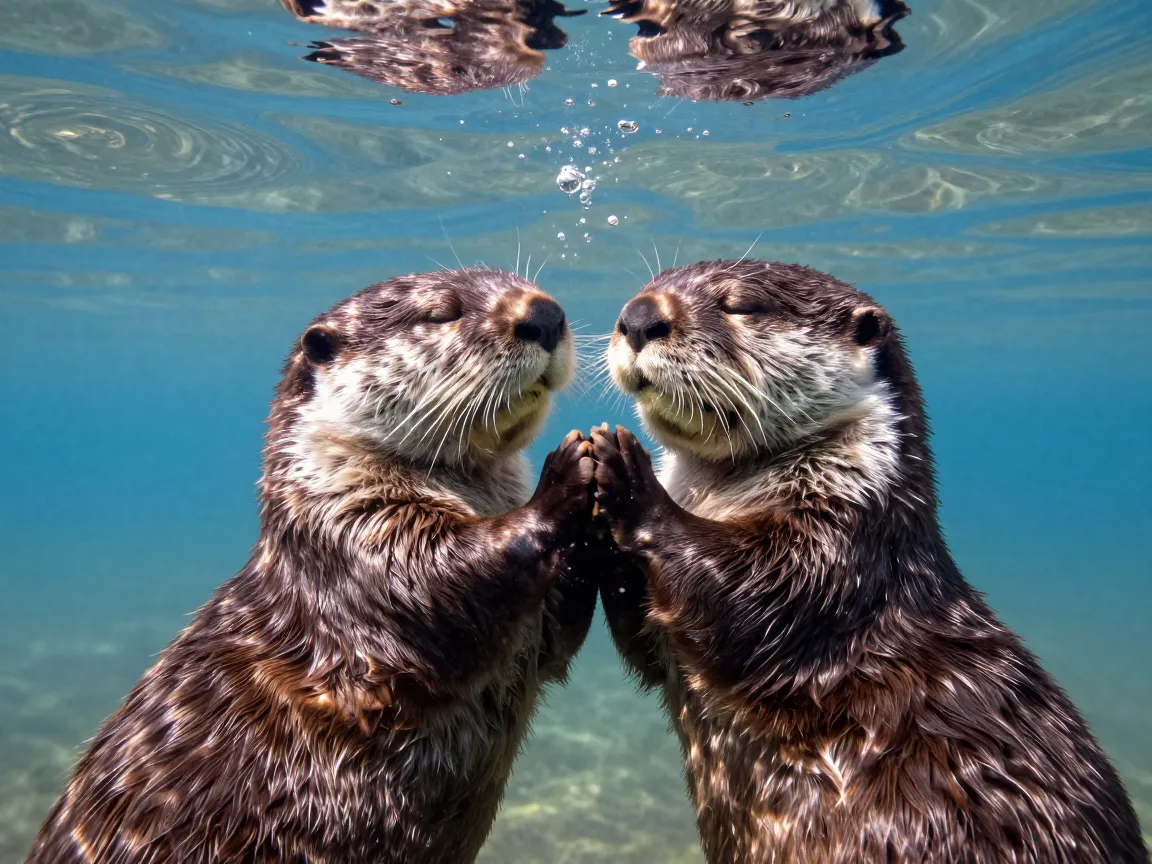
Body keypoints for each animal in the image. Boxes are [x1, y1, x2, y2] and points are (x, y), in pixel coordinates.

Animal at [27, 267, 598, 864]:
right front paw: (565, 476)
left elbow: (555, 639)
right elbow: (441, 583)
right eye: (443, 311)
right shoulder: (351, 543)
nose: (544, 314)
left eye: (521, 282)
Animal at [590, 260, 1149, 863]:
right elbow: (647, 644)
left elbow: (747, 601)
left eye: (739, 304)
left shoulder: (843, 553)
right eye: (649, 286)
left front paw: (626, 473)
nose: (639, 316)